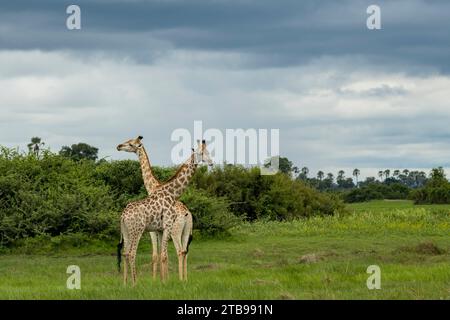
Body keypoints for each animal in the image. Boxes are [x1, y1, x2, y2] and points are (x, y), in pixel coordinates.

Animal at [118, 140, 213, 284]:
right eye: (201, 152)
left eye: (130, 143)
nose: (119, 146)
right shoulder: (160, 229)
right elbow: (160, 255)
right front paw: (162, 281)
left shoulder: (159, 229)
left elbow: (161, 255)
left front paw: (162, 280)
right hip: (140, 231)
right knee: (132, 253)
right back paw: (135, 283)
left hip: (133, 232)